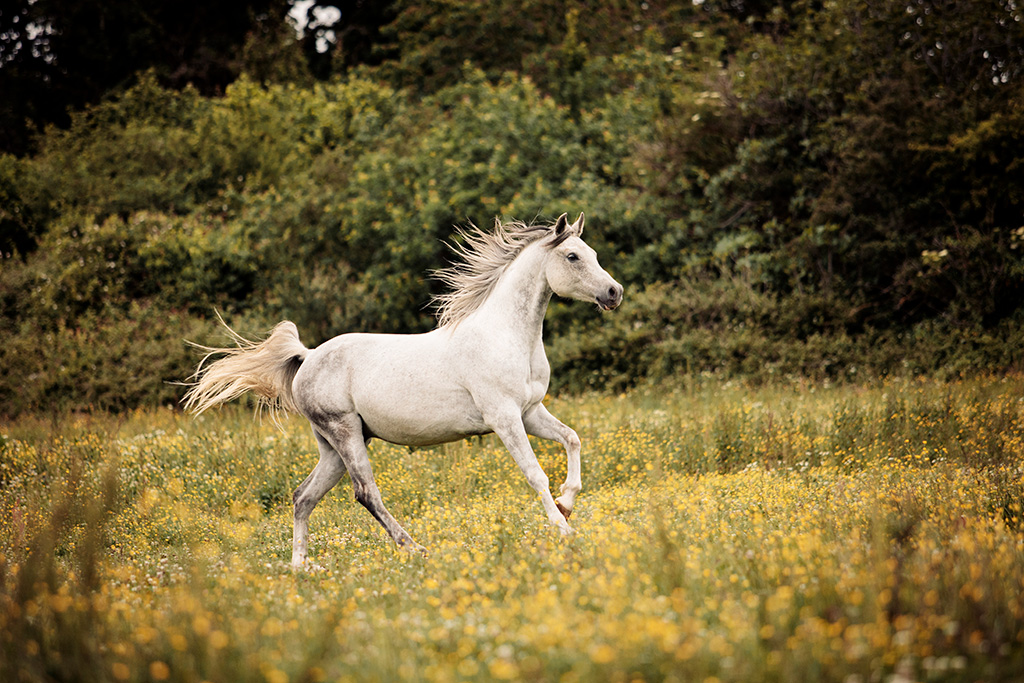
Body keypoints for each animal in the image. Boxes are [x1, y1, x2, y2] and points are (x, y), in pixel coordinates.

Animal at [182, 211, 622, 565]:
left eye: (593, 253)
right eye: (572, 256)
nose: (614, 292)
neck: (507, 336)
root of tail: (307, 357)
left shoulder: (530, 411)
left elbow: (572, 438)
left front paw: (567, 503)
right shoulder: (504, 417)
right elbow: (534, 474)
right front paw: (563, 529)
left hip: (334, 445)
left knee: (303, 496)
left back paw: (302, 568)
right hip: (345, 433)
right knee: (366, 493)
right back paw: (414, 548)